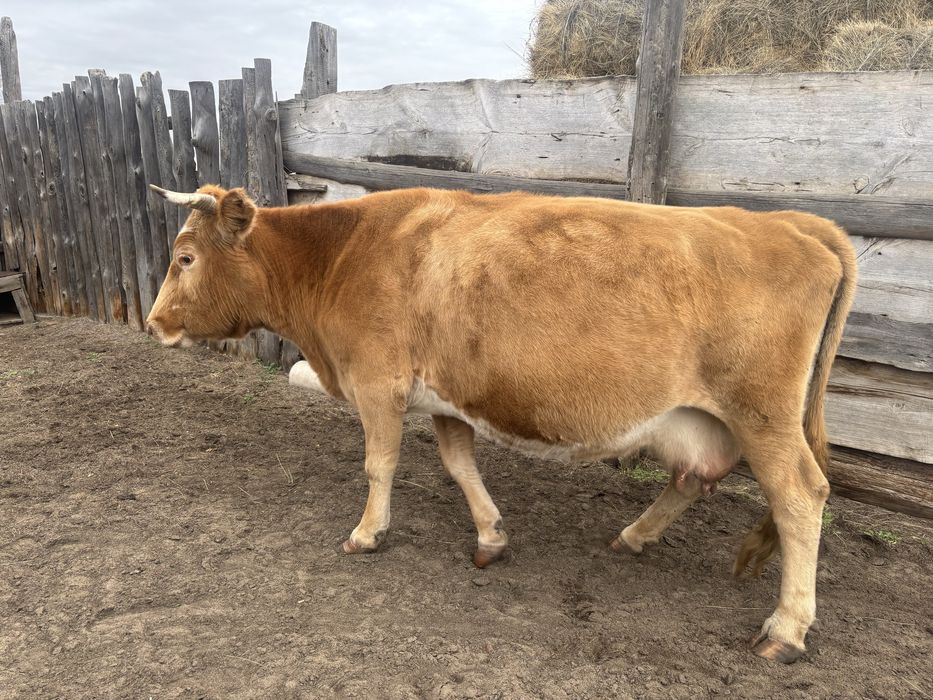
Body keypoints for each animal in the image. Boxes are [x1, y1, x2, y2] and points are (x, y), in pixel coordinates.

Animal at [145, 182, 857, 663]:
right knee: (691, 480)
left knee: (800, 495)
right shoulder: (447, 399)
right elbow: (461, 466)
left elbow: (379, 464)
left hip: (763, 415)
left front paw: (367, 533)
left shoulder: (378, 383)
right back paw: (633, 536)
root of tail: (793, 222)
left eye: (185, 258)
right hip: (713, 417)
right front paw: (490, 536)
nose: (153, 322)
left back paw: (786, 629)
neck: (344, 253)